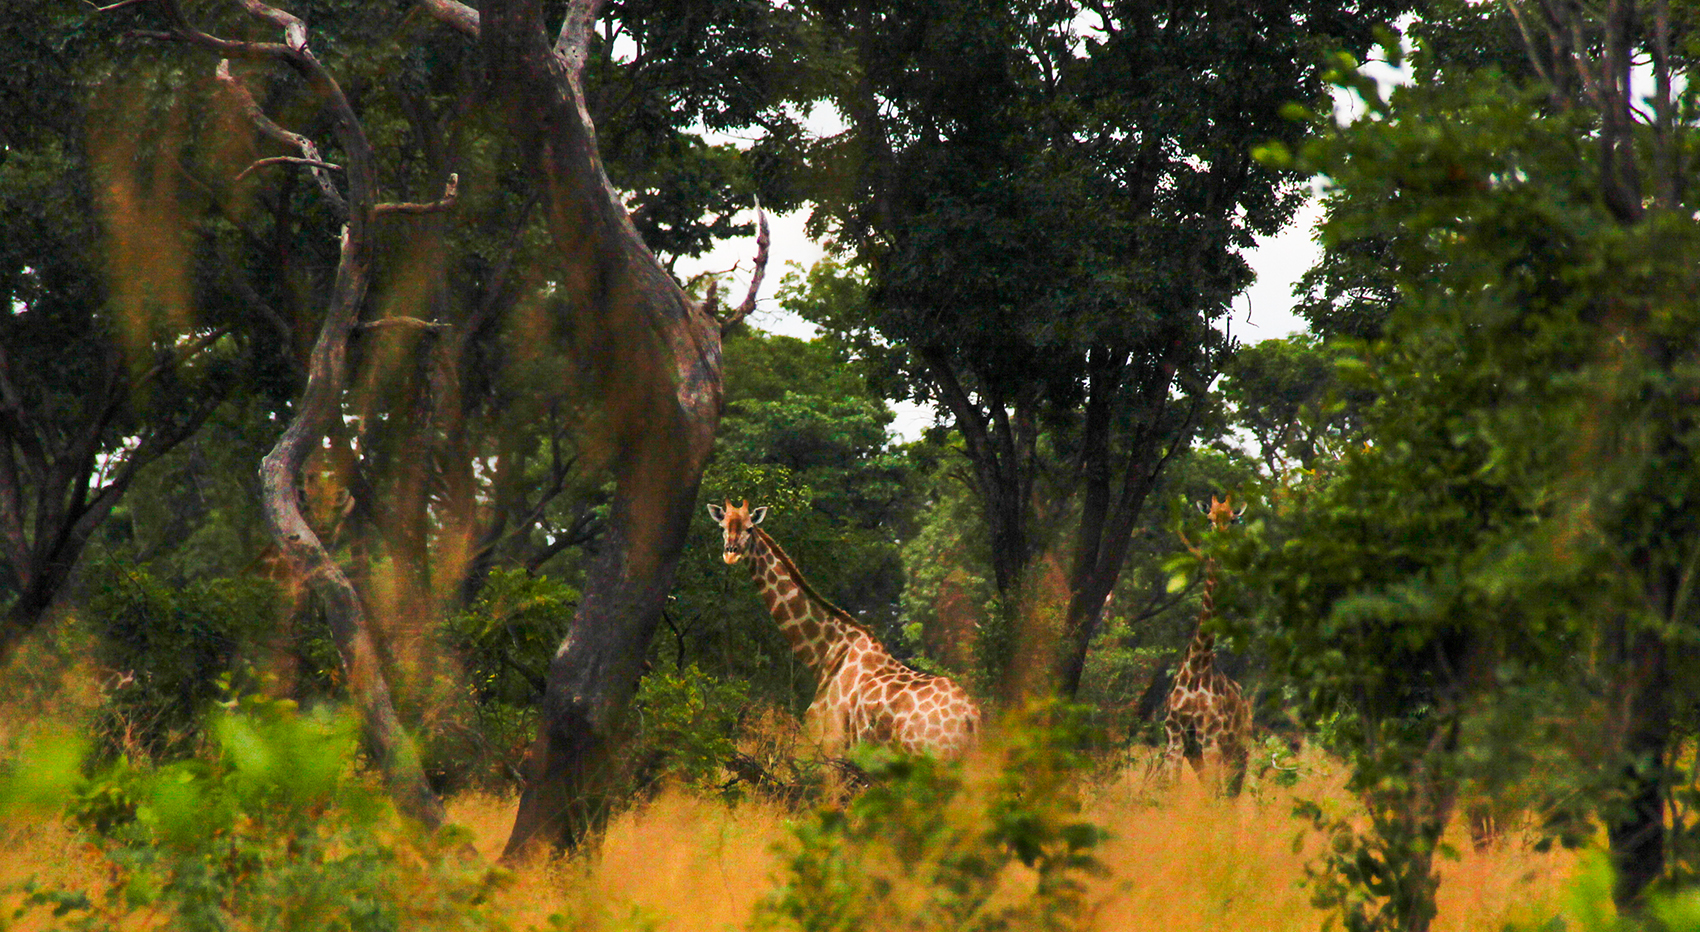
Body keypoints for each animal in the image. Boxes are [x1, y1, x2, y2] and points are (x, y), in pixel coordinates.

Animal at [708, 500, 980, 756]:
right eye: (722, 527)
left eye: (750, 528)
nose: (730, 553)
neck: (824, 653)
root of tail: (971, 719)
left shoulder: (829, 743)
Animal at [1161, 494, 1253, 795]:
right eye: (1210, 518)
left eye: (1233, 519)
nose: (1220, 538)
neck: (1197, 666)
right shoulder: (1176, 737)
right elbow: (1172, 791)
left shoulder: (1210, 736)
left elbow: (1213, 794)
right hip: (1200, 752)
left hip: (1239, 750)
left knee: (1230, 795)